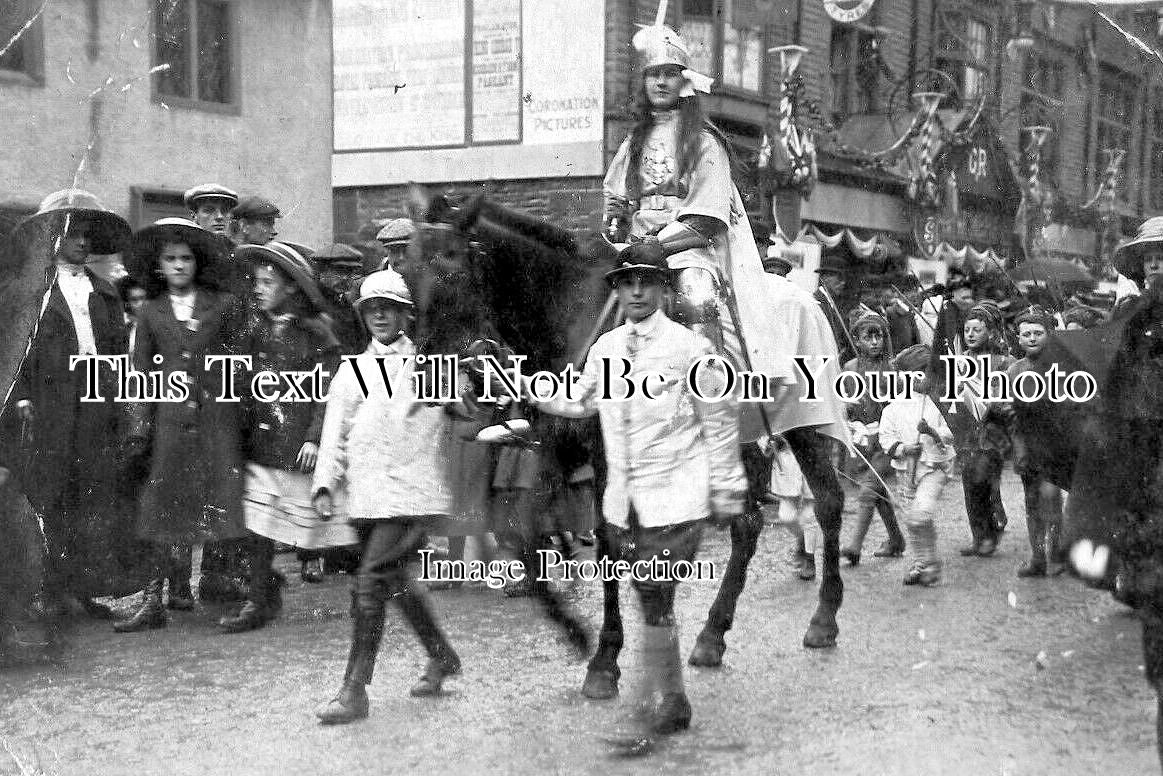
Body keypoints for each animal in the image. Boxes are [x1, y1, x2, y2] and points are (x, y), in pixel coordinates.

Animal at [402, 188, 846, 698]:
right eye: (406, 271)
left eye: (452, 268)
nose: (430, 378)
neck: (568, 314)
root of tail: (807, 298)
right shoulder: (556, 452)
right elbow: (520, 534)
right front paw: (577, 634)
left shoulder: (606, 460)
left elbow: (616, 545)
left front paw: (606, 657)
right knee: (747, 522)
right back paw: (712, 635)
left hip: (806, 426)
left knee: (828, 502)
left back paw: (823, 619)